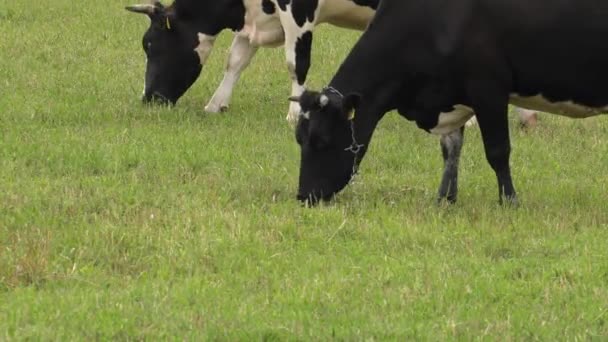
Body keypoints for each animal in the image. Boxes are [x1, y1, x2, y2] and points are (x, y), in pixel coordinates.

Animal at [292, 0, 608, 206]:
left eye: (322, 140)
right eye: (299, 138)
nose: (304, 196)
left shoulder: (488, 88)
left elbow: (498, 151)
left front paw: (509, 200)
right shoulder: (452, 97)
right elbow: (451, 150)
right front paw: (445, 198)